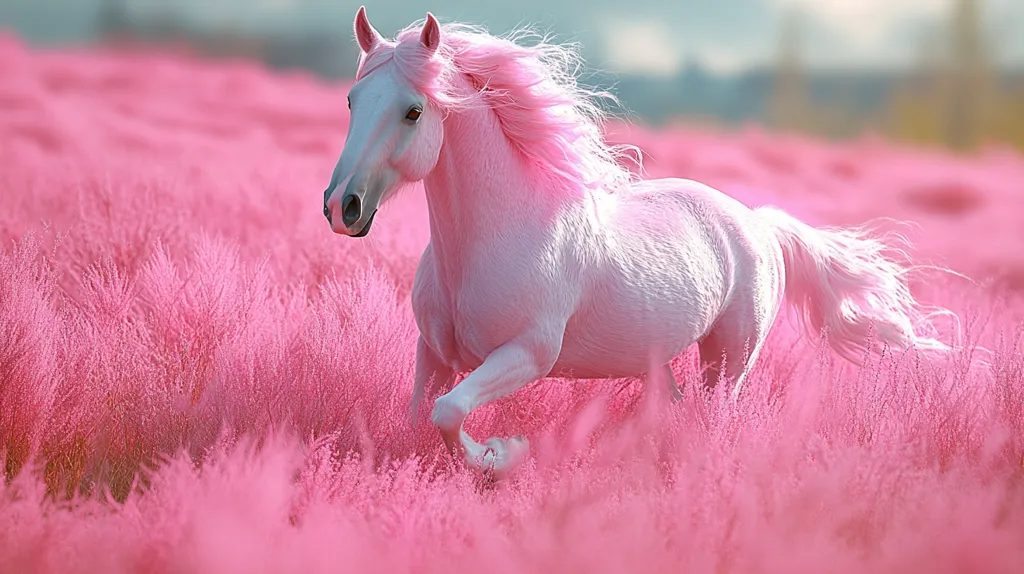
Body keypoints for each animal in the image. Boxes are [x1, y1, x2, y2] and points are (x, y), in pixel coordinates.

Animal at [323, 7, 956, 475]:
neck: (490, 240)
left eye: (413, 110)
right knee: (668, 409)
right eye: (352, 101)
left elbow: (449, 413)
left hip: (729, 362)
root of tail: (758, 224)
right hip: (657, 361)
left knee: (712, 416)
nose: (341, 207)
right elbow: (422, 417)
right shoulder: (434, 352)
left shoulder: (525, 354)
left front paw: (503, 455)